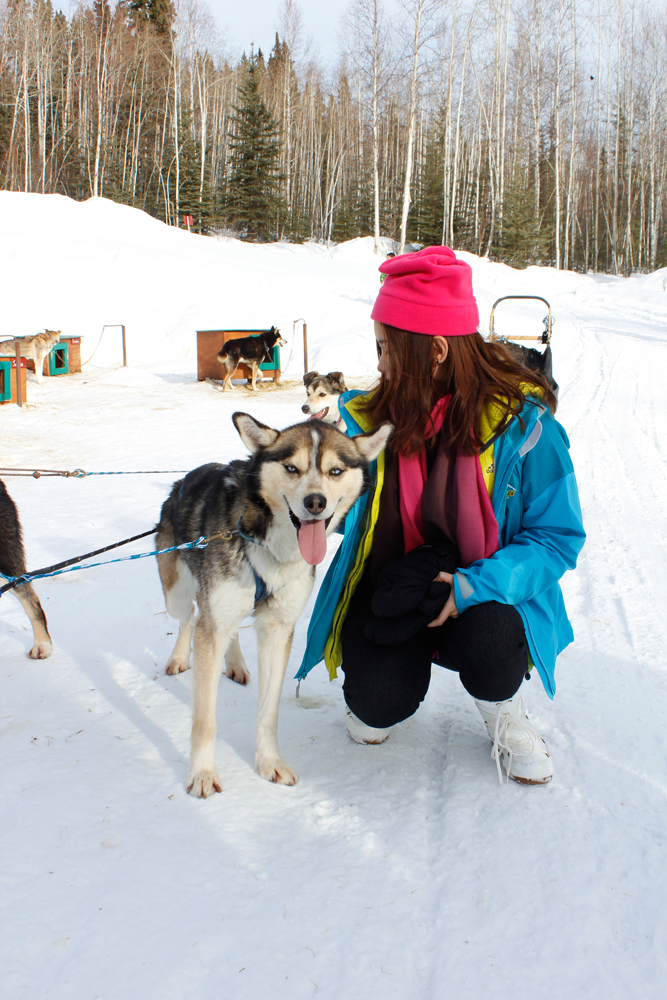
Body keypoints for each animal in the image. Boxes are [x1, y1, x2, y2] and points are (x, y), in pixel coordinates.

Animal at [157, 412, 394, 796]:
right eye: (291, 468)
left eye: (336, 471)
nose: (315, 502)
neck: (267, 540)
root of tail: (182, 481)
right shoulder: (214, 621)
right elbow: (205, 719)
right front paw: (203, 773)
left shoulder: (277, 628)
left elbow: (268, 712)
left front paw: (269, 763)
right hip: (176, 592)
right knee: (190, 617)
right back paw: (180, 657)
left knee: (229, 631)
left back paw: (236, 663)